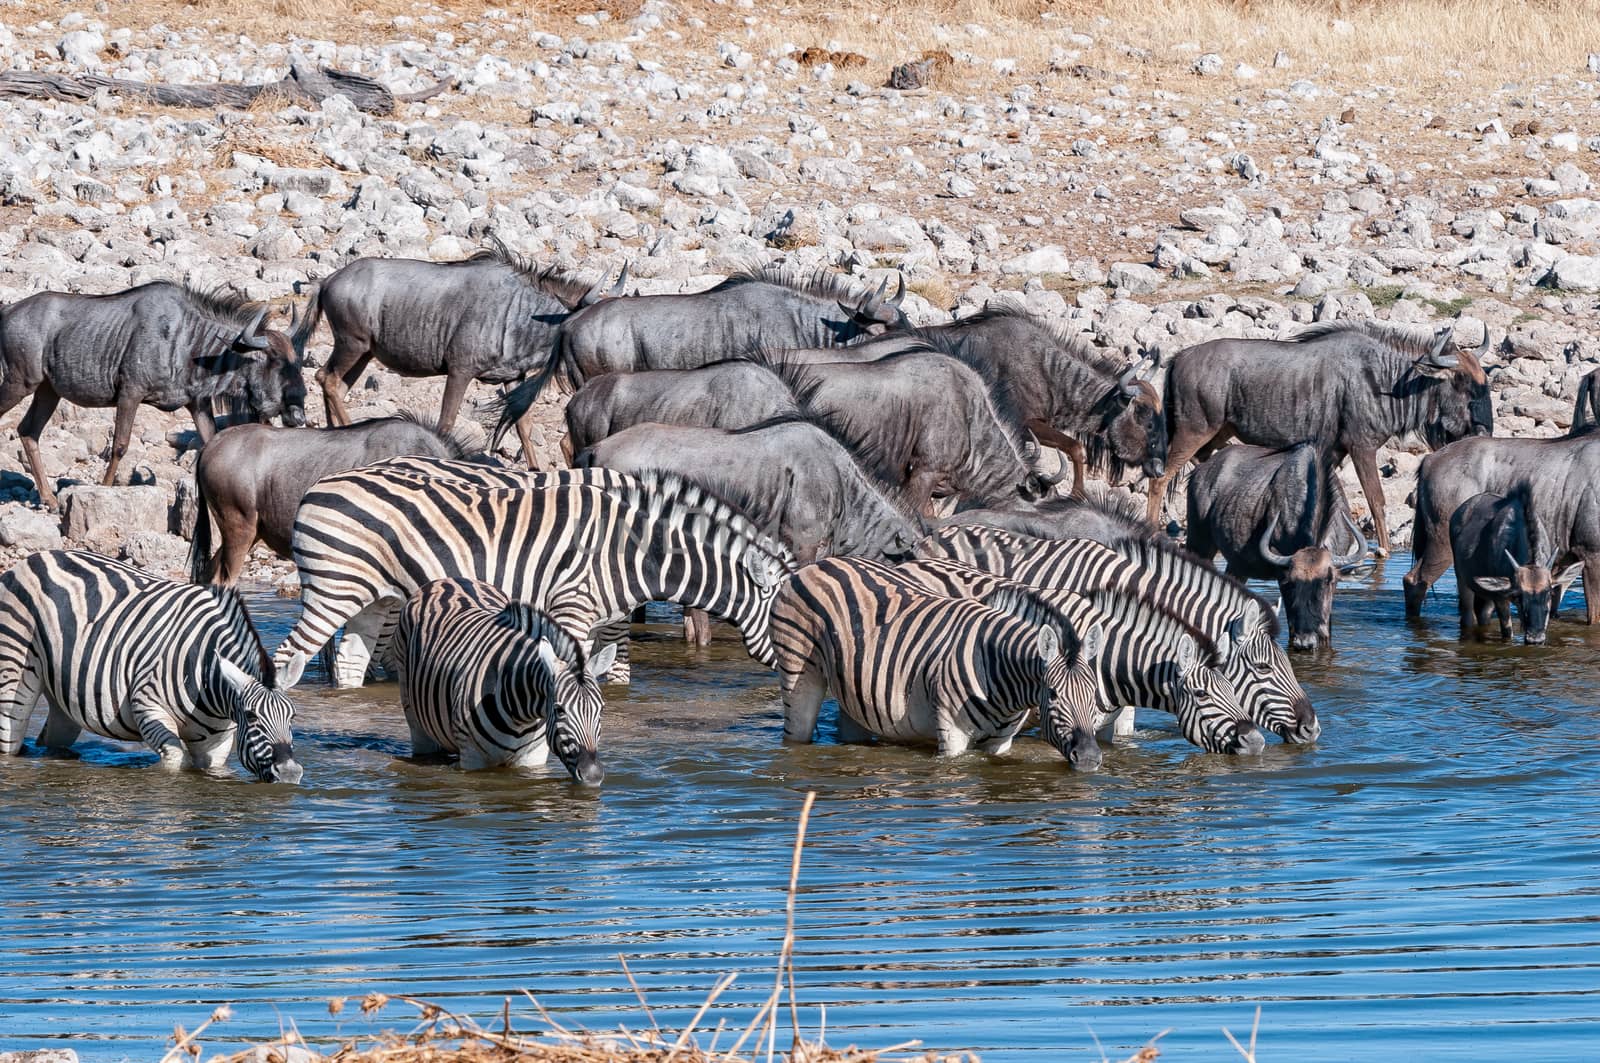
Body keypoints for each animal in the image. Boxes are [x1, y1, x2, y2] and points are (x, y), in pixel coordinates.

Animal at [0, 547, 305, 781]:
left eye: (292, 717)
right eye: (252, 717)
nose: (290, 773)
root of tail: (39, 555)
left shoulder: (216, 744)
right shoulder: (148, 708)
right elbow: (175, 764)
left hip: (65, 695)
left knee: (50, 740)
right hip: (14, 672)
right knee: (9, 741)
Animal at [281, 454, 800, 688]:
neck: (633, 551)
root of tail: (317, 485)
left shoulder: (605, 618)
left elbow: (610, 674)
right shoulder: (573, 608)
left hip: (374, 597)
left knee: (350, 662)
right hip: (333, 589)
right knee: (292, 659)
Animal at [393, 582, 617, 781]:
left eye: (602, 709)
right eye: (559, 710)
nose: (592, 775)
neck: (521, 715)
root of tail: (447, 581)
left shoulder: (532, 757)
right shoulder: (472, 758)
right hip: (414, 716)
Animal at [764, 557, 1088, 755]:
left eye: (1092, 693)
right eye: (1054, 694)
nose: (1089, 758)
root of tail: (816, 564)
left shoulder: (999, 743)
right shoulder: (952, 732)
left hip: (856, 689)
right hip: (798, 671)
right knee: (795, 733)